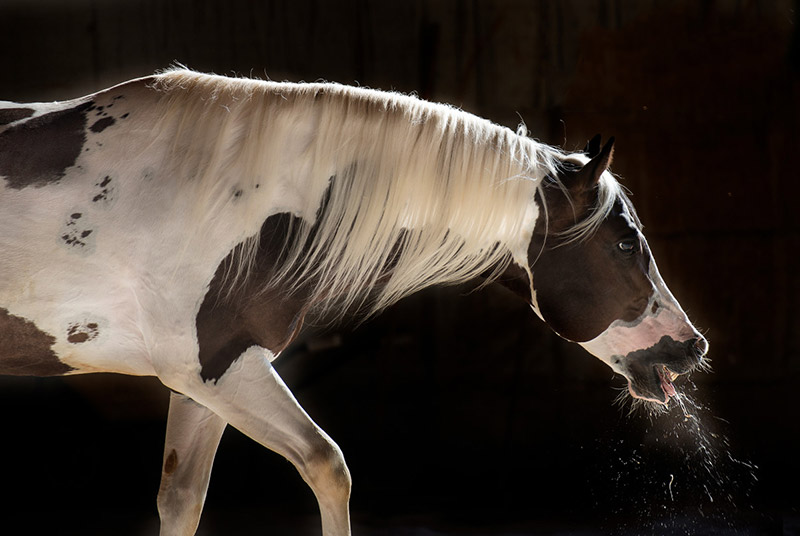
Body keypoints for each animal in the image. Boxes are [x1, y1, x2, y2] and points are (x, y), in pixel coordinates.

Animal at [0, 69, 708, 535]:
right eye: (624, 243)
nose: (690, 346)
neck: (225, 195)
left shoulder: (203, 382)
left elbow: (181, 501)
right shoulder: (221, 370)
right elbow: (327, 466)